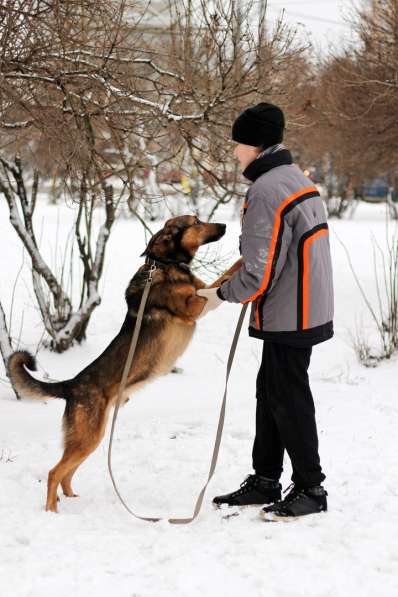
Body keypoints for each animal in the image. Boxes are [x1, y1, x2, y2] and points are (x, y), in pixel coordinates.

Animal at [7, 215, 241, 512]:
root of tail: (70, 386)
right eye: (196, 221)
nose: (224, 226)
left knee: (66, 474)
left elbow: (223, 276)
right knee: (54, 472)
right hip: (88, 437)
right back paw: (51, 511)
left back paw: (72, 498)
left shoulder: (200, 293)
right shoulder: (194, 306)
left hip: (91, 439)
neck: (163, 264)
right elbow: (221, 281)